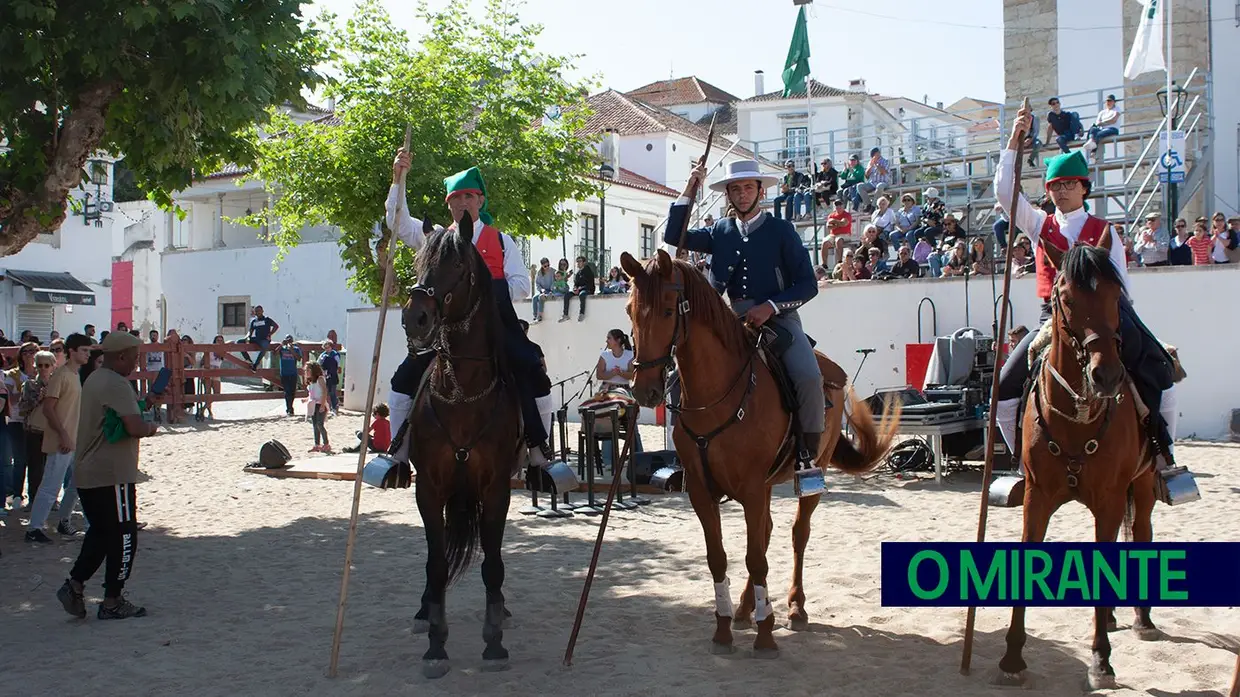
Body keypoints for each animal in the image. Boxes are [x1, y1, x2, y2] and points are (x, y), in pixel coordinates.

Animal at [401, 213, 523, 679]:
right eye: (418, 262)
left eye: (456, 265)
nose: (415, 318)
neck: (463, 392)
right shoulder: (429, 489)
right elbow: (436, 565)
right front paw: (436, 644)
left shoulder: (496, 489)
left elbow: (493, 563)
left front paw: (494, 642)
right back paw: (424, 613)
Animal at [620, 249, 902, 654]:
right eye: (631, 310)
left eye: (669, 310)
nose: (645, 391)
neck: (717, 396)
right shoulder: (703, 492)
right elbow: (719, 559)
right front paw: (724, 627)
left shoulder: (752, 489)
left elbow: (756, 558)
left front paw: (766, 634)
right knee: (766, 533)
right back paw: (745, 607)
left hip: (807, 478)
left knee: (798, 534)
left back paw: (795, 607)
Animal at [996, 230, 1160, 684]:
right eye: (1066, 298)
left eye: (1114, 294)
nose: (1106, 375)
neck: (1077, 419)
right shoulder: (1036, 496)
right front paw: (1012, 656)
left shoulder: (1110, 498)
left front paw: (1101, 660)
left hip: (1142, 485)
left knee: (1141, 533)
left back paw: (1141, 619)